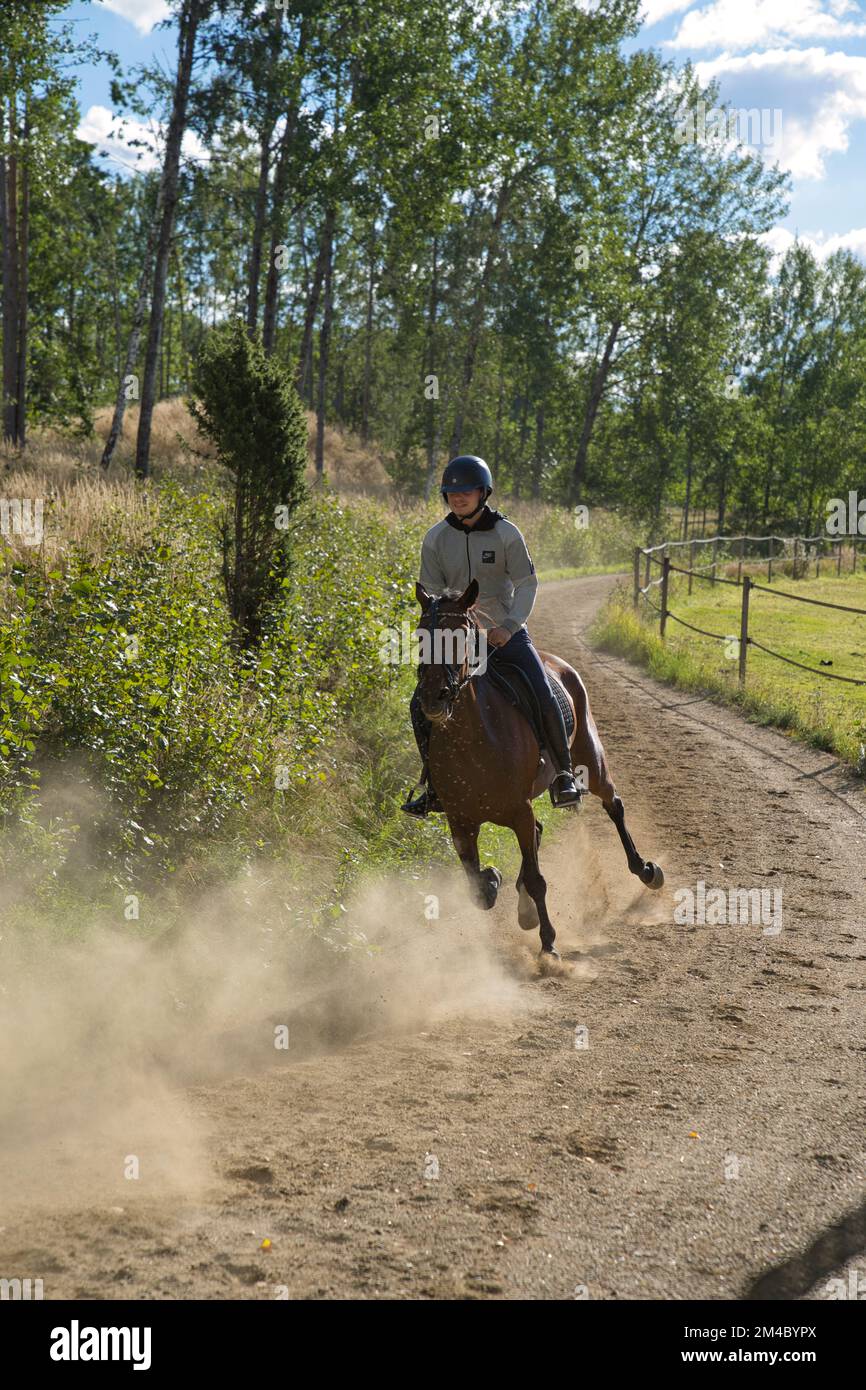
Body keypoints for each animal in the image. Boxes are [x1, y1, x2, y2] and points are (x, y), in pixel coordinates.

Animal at [414, 578, 664, 956]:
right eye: (419, 635)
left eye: (460, 634)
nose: (433, 696)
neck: (473, 739)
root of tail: (556, 662)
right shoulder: (460, 822)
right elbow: (478, 889)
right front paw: (495, 881)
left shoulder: (519, 810)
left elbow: (536, 879)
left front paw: (548, 945)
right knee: (541, 831)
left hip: (590, 759)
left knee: (613, 805)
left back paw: (646, 870)